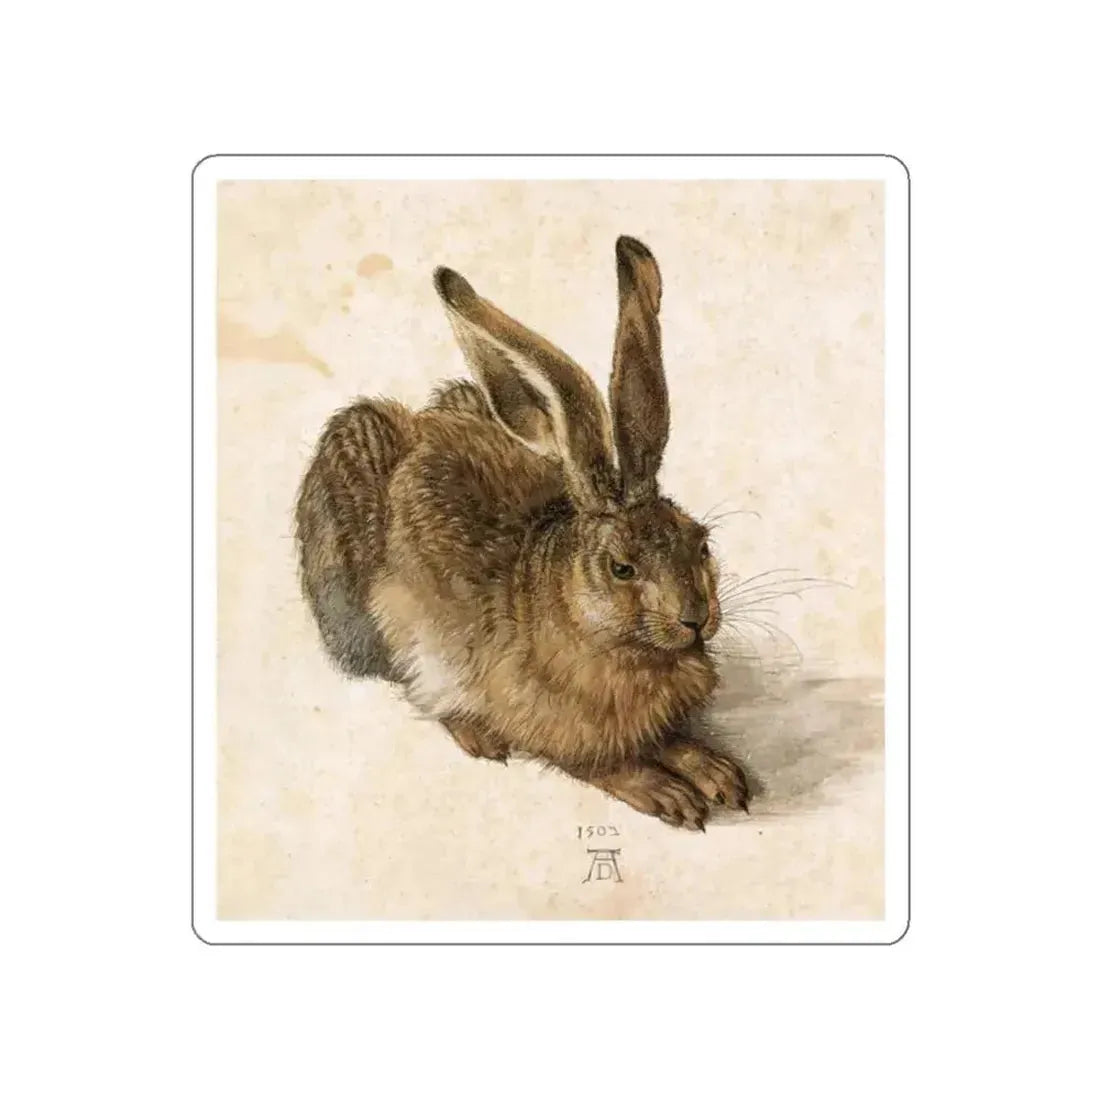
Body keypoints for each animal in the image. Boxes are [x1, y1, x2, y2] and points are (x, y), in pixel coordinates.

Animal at [295, 236, 749, 829]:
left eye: (701, 544)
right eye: (621, 568)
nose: (695, 619)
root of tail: (421, 426)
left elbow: (672, 741)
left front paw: (718, 773)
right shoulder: (550, 724)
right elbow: (602, 764)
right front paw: (667, 792)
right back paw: (475, 734)